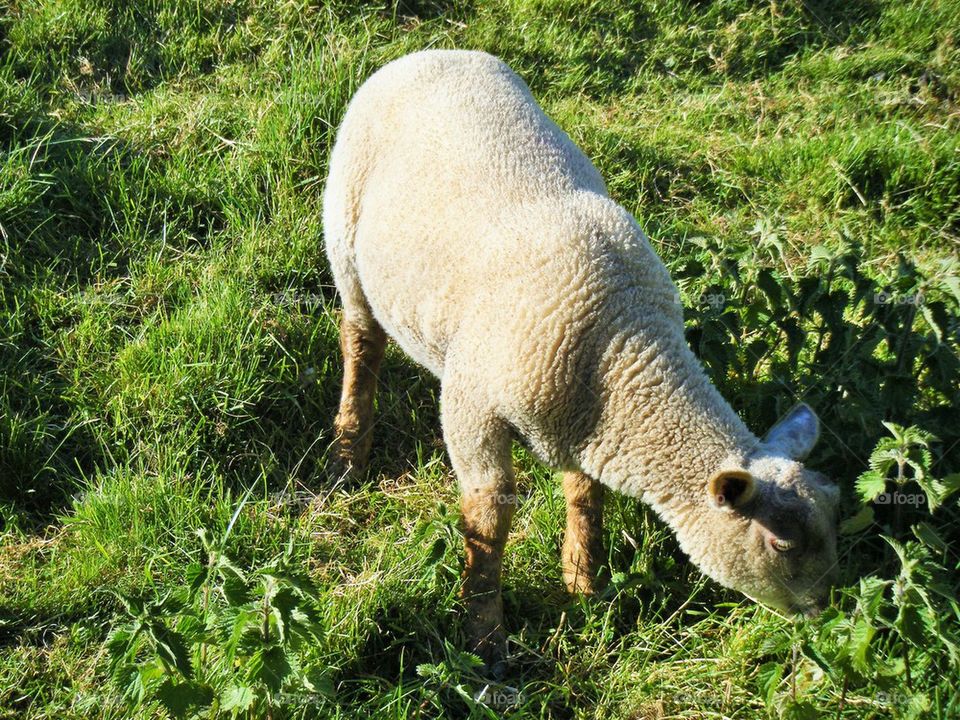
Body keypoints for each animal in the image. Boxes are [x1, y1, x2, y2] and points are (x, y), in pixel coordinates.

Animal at [322, 49, 840, 671]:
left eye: (834, 509)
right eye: (781, 543)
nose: (826, 611)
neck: (623, 347)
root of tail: (430, 52)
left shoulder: (583, 421)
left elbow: (585, 497)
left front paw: (584, 583)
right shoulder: (472, 406)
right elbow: (488, 520)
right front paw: (485, 635)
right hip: (346, 237)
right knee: (361, 341)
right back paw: (349, 450)